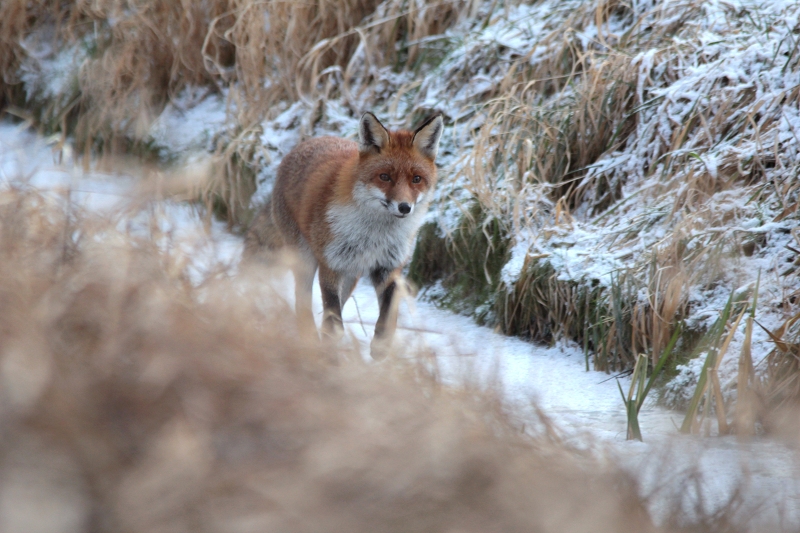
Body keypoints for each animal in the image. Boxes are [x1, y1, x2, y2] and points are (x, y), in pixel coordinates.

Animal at [244, 110, 444, 356]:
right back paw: (309, 341)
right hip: (306, 259)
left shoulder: (388, 266)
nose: (404, 207)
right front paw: (329, 350)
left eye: (416, 179)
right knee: (302, 302)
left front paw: (381, 345)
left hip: (351, 274)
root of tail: (307, 142)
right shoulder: (331, 263)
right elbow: (333, 320)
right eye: (385, 177)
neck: (375, 235)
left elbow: (388, 313)